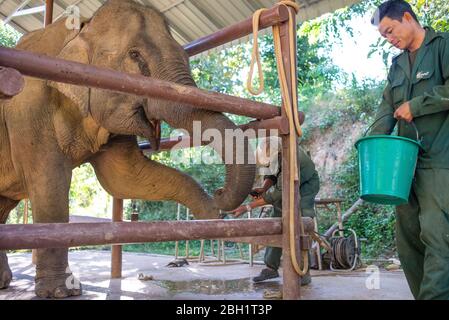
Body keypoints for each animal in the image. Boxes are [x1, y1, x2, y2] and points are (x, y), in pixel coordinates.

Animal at [0, 0, 254, 298]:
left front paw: (210, 216)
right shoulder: (28, 111)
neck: (81, 29)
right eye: (135, 55)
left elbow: (124, 178)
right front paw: (62, 292)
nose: (219, 193)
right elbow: (50, 184)